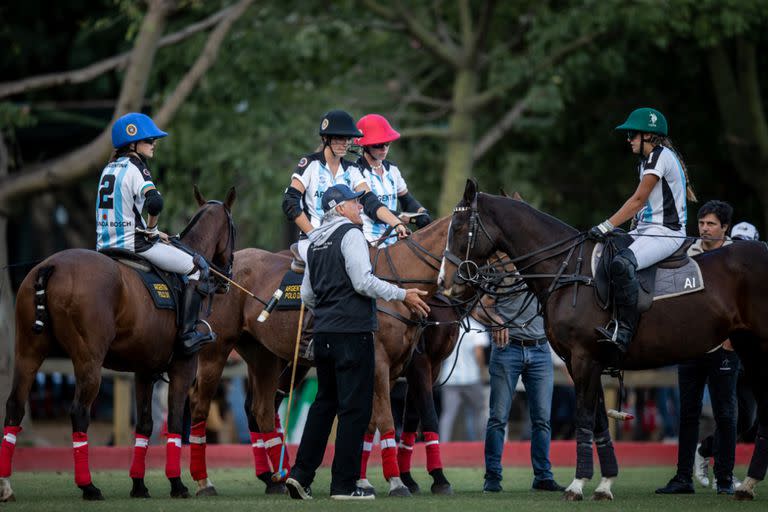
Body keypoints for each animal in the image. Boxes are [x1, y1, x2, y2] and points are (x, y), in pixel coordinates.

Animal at [0, 187, 236, 500]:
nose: (227, 278)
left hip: (28, 352)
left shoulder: (145, 370)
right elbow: (174, 421)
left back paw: (6, 486)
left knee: (15, 406)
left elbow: (145, 425)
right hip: (89, 360)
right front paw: (177, 484)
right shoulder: (183, 366)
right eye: (233, 229)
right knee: (79, 412)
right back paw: (88, 486)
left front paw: (139, 485)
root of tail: (51, 265)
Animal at [438, 180, 768, 500]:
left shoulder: (584, 358)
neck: (567, 270)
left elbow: (584, 417)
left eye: (459, 227)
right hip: (748, 345)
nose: (445, 281)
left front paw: (577, 484)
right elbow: (598, 420)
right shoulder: (579, 361)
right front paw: (605, 483)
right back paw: (747, 485)